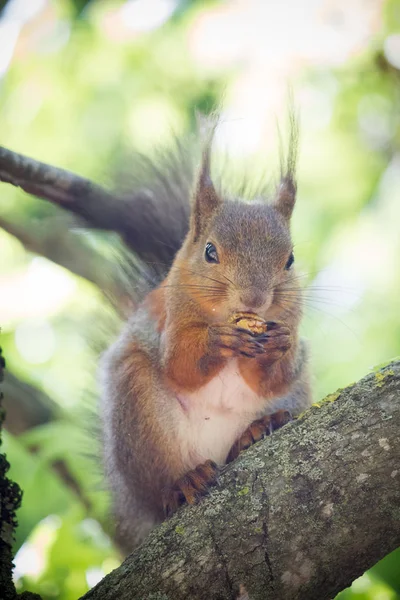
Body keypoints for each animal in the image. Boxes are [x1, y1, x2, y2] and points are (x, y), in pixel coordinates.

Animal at [98, 117, 310, 552]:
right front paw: (216, 340)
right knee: (163, 484)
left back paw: (254, 433)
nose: (254, 299)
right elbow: (180, 365)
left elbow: (273, 377)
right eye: (210, 252)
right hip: (139, 416)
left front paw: (277, 348)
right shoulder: (169, 318)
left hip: (294, 396)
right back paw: (183, 483)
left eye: (290, 260)